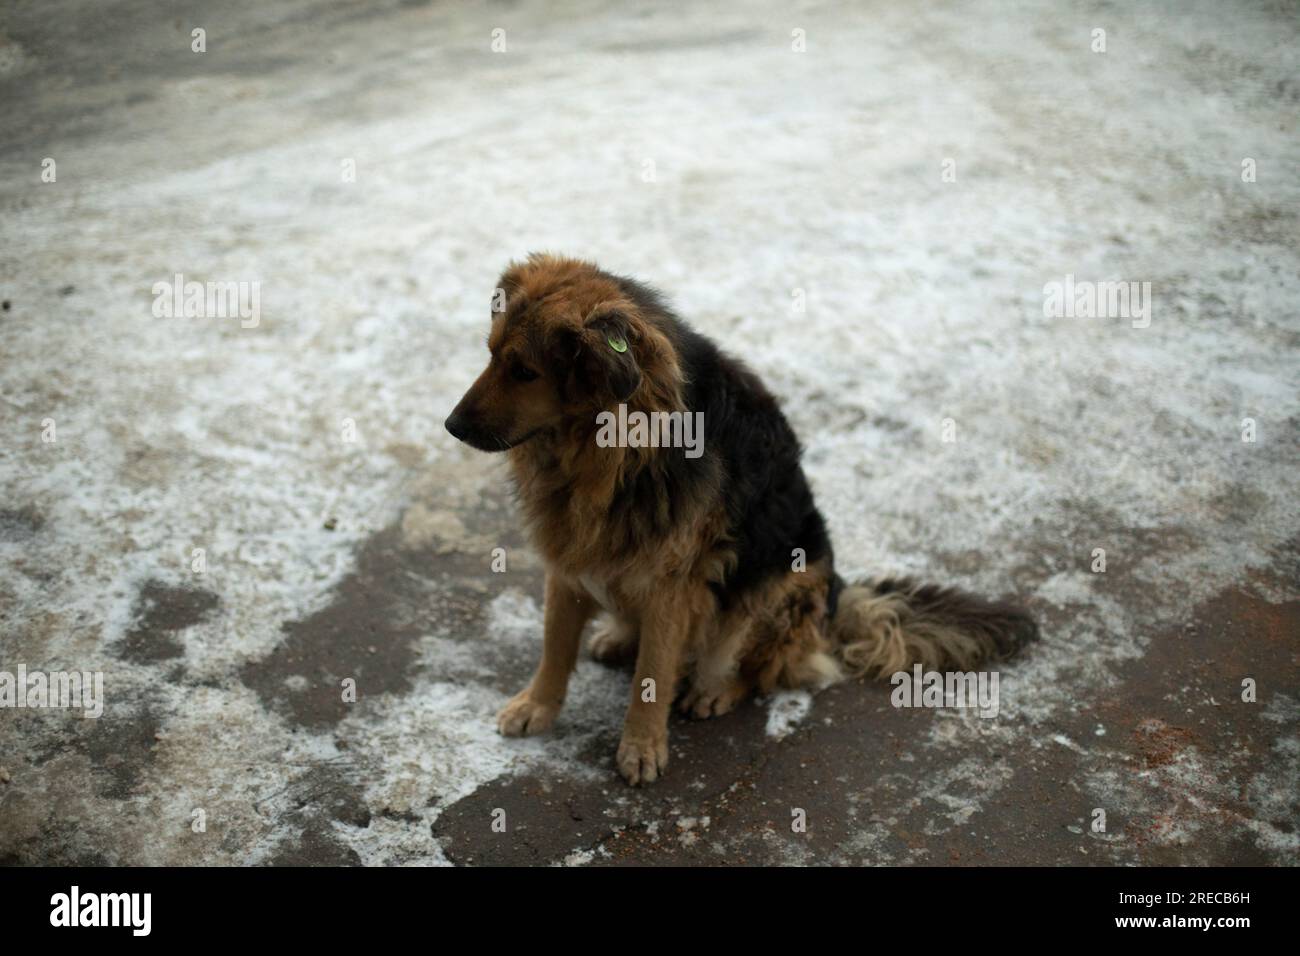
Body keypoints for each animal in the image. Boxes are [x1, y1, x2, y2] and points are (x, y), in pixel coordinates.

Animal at [447, 254, 1034, 785]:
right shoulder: (569, 558)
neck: (614, 450)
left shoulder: (674, 585)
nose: (451, 426)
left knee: (763, 670)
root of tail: (838, 601)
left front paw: (641, 747)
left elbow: (652, 677)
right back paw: (619, 636)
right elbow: (554, 646)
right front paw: (537, 706)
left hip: (779, 588)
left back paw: (715, 689)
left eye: (525, 372)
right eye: (491, 355)